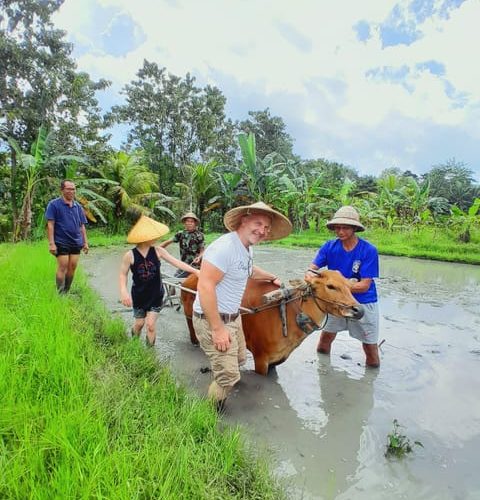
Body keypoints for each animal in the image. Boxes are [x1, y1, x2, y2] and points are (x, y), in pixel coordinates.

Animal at [180, 274, 364, 376]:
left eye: (349, 286)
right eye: (330, 286)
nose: (358, 310)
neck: (288, 315)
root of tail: (190, 277)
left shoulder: (277, 359)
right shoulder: (261, 358)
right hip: (189, 315)